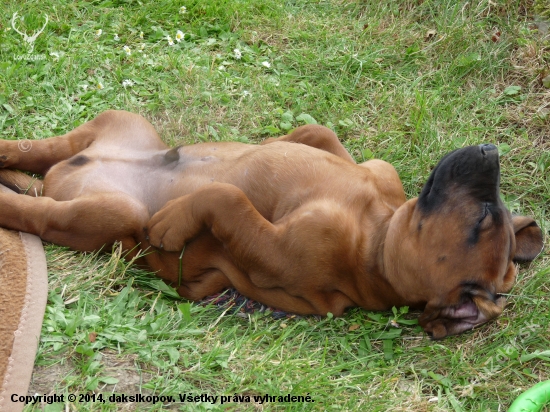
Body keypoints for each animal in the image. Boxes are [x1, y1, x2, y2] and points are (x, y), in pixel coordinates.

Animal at [0, 110, 544, 338]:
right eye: (490, 209)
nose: (490, 149)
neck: (378, 231)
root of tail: (59, 177)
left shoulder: (272, 247)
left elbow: (227, 197)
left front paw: (176, 221)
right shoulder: (368, 168)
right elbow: (315, 133)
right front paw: (261, 144)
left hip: (108, 214)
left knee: (42, 212)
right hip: (119, 122)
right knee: (41, 150)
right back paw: (12, 157)